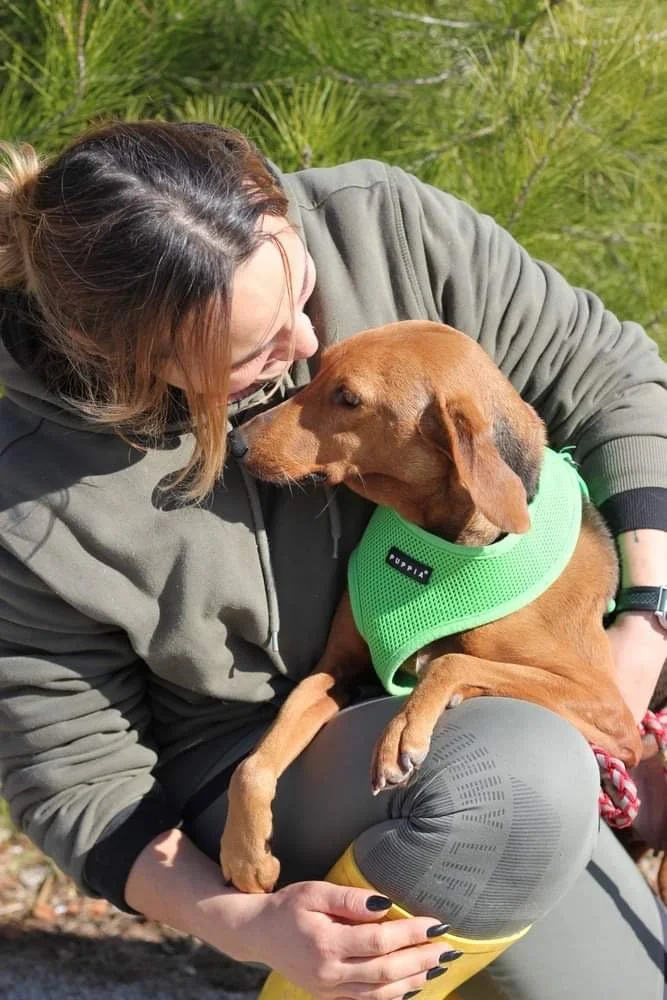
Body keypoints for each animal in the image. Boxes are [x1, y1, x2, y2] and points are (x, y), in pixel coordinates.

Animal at [220, 320, 642, 894]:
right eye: (320, 367)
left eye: (348, 398)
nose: (235, 441)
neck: (441, 541)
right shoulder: (335, 670)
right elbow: (253, 763)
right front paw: (245, 853)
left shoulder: (613, 712)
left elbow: (452, 660)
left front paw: (403, 730)